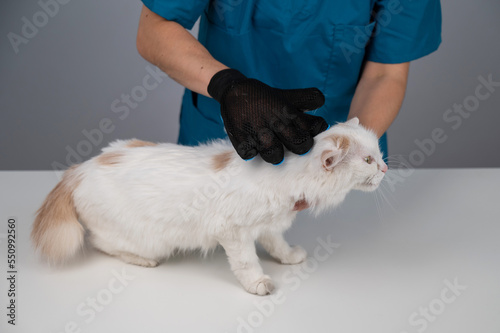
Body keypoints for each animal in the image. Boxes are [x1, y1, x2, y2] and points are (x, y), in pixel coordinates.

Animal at [32, 118, 386, 294]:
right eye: (368, 160)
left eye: (378, 154)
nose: (385, 168)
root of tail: (78, 169)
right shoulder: (232, 231)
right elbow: (247, 263)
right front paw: (258, 283)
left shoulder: (268, 225)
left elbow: (277, 243)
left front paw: (288, 257)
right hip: (144, 239)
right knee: (99, 242)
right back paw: (141, 260)